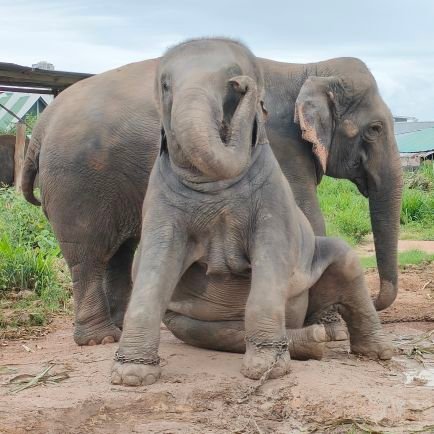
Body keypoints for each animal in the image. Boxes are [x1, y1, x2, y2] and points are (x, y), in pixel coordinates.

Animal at [22, 41, 404, 346]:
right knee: (87, 256)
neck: (307, 69)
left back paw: (118, 326)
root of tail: (40, 128)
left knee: (120, 252)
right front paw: (331, 328)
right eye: (374, 129)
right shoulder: (279, 148)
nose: (377, 297)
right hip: (76, 184)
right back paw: (99, 339)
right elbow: (307, 218)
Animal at [109, 39, 394, 386]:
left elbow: (271, 256)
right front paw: (130, 375)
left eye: (231, 82)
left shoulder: (273, 193)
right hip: (183, 322)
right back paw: (313, 341)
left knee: (346, 259)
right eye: (165, 86)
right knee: (215, 333)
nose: (243, 84)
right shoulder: (160, 198)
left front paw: (265, 369)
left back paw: (374, 352)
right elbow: (155, 262)